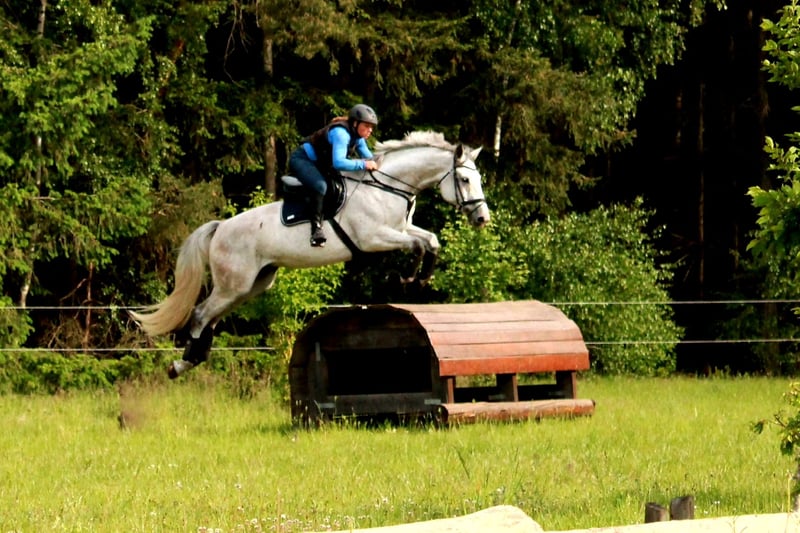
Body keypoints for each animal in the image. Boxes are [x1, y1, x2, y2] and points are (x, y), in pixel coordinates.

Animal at [129, 131, 490, 378]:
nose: (482, 218)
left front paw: (422, 277)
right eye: (464, 179)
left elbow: (430, 240)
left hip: (252, 284)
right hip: (235, 283)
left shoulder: (401, 228)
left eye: (478, 179)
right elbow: (417, 245)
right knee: (201, 313)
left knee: (211, 317)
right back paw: (181, 364)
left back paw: (194, 358)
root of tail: (220, 228)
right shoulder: (374, 238)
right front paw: (408, 278)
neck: (389, 187)